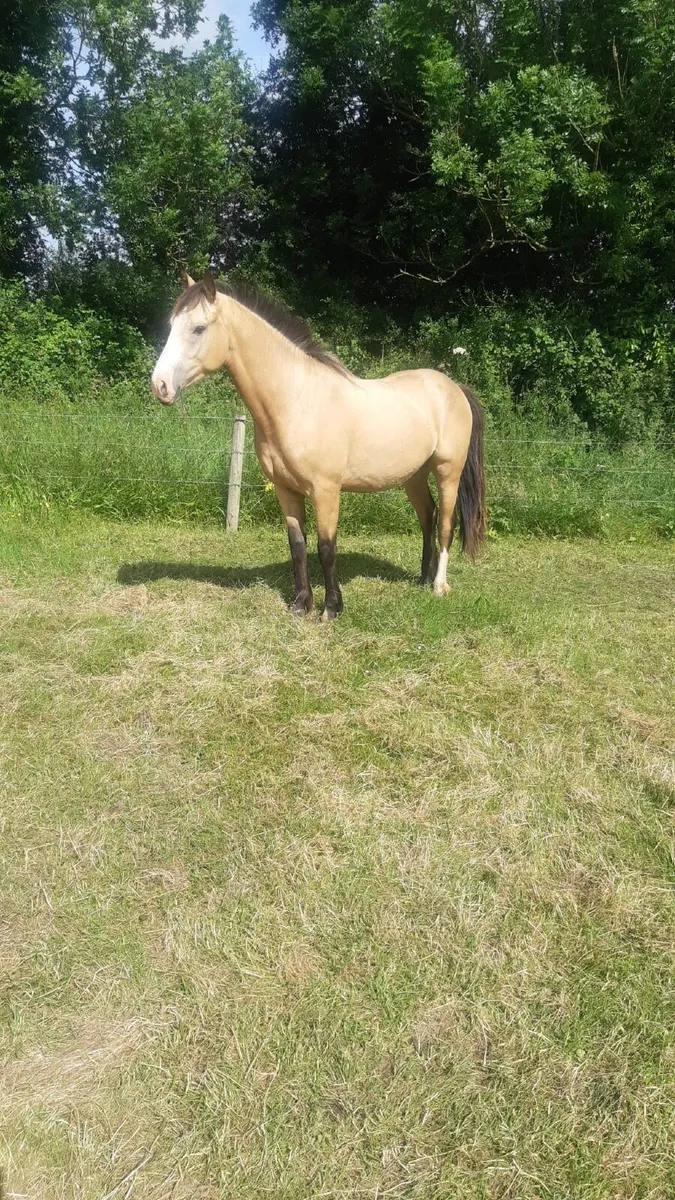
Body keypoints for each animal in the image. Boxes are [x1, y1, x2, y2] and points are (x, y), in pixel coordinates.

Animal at [151, 272, 487, 619]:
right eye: (172, 324)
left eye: (198, 328)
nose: (159, 385)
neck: (296, 399)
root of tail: (454, 388)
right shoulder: (286, 490)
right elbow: (298, 545)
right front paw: (301, 605)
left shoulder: (326, 491)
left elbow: (326, 547)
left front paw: (332, 609)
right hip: (414, 476)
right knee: (428, 517)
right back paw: (422, 578)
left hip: (448, 472)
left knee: (446, 523)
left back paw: (439, 586)